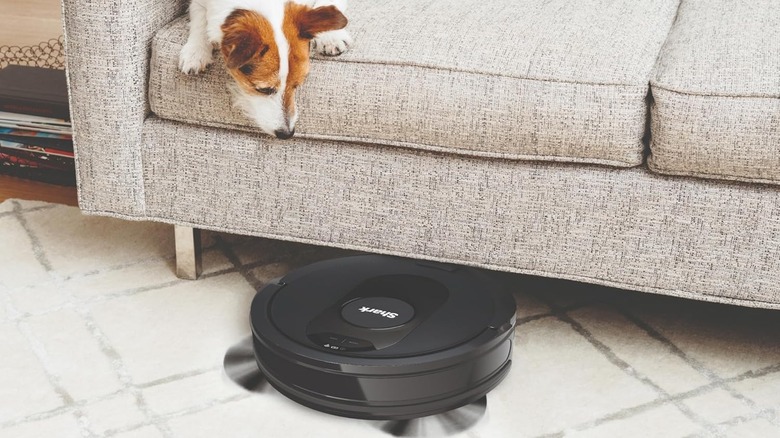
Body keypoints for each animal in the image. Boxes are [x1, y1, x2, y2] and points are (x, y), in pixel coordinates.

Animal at [178, 0, 352, 139]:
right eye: (264, 89)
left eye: (296, 85)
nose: (287, 134)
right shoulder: (200, 4)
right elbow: (200, 20)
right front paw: (196, 52)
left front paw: (331, 37)